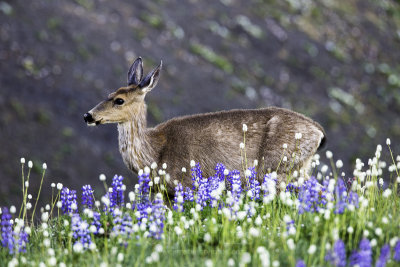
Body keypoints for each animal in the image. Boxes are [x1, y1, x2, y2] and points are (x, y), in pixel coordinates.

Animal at [83, 58, 324, 195]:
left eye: (119, 100)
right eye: (109, 93)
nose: (88, 115)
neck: (154, 154)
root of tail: (319, 132)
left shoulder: (187, 182)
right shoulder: (163, 191)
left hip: (278, 166)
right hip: (298, 168)